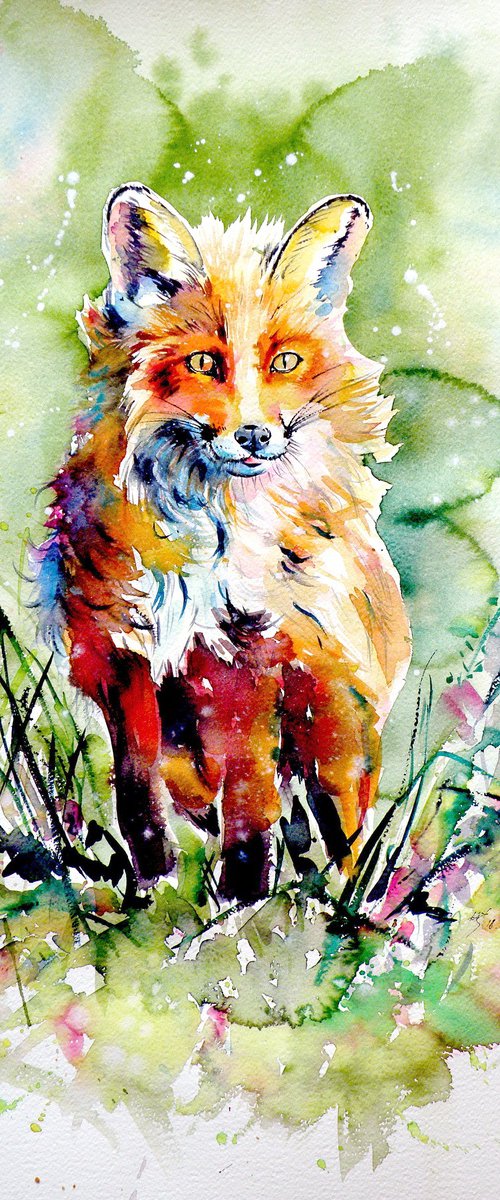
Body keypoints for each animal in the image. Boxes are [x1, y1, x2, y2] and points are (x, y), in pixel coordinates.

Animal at [35, 183, 411, 901]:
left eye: (285, 361)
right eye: (205, 362)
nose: (256, 435)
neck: (204, 543)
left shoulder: (255, 664)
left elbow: (250, 802)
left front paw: (241, 897)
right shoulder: (123, 661)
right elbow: (139, 793)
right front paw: (153, 887)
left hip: (333, 733)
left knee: (342, 835)